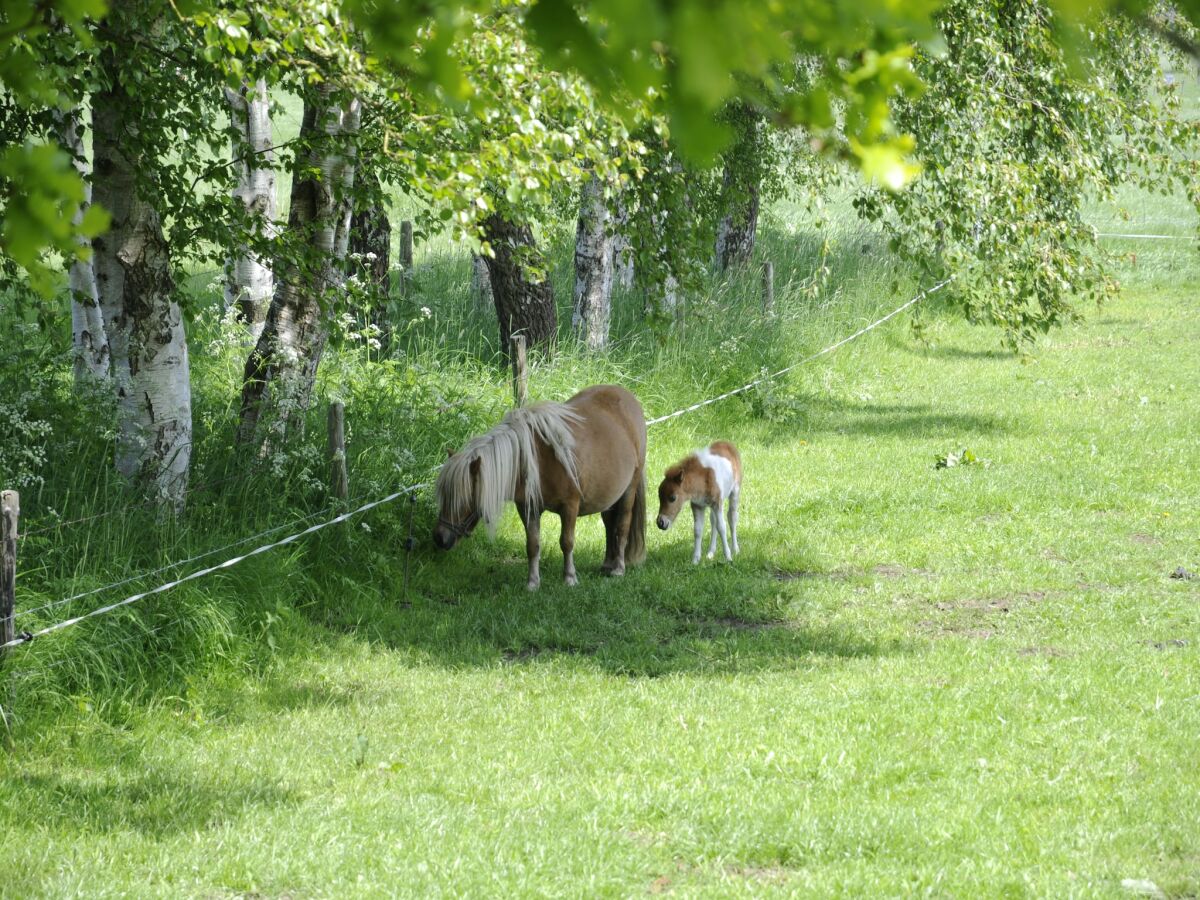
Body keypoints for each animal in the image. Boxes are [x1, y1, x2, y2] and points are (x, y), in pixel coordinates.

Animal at [434, 386, 648, 592]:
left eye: (463, 498)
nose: (439, 538)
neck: (537, 459)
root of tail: (629, 398)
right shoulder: (528, 508)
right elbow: (533, 545)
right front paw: (533, 582)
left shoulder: (570, 506)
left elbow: (567, 542)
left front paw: (569, 577)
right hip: (609, 498)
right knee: (609, 525)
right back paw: (607, 564)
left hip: (629, 490)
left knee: (622, 525)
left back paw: (618, 568)